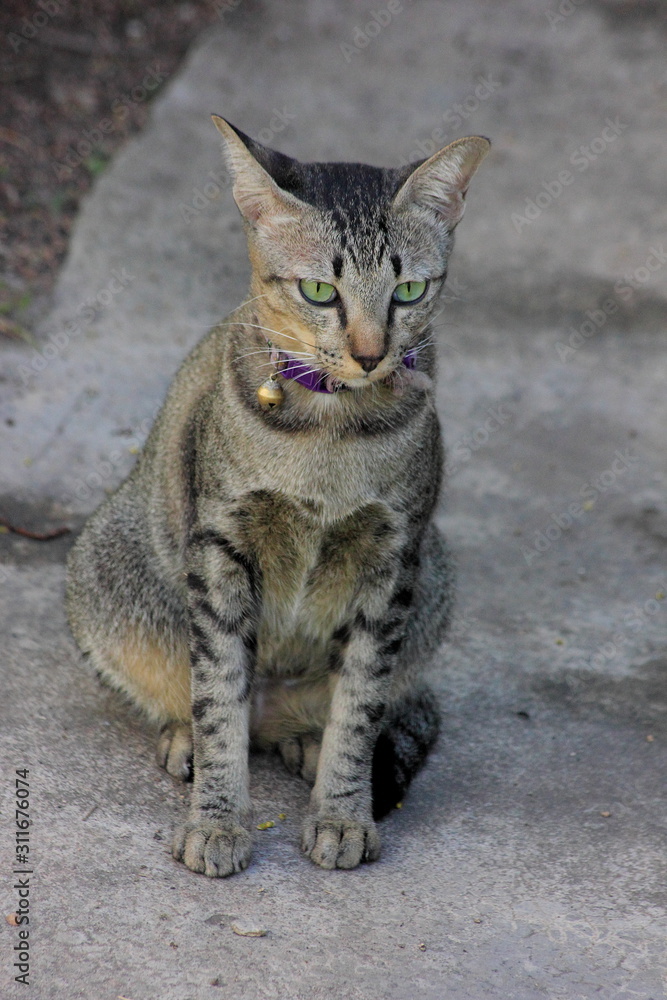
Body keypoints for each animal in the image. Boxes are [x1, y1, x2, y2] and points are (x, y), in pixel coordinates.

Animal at [66, 119, 490, 876]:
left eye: (408, 290)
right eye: (320, 290)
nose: (369, 353)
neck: (331, 435)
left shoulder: (394, 559)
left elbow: (360, 705)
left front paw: (342, 812)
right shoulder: (221, 547)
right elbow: (219, 696)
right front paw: (216, 820)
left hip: (433, 577)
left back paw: (306, 744)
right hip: (106, 568)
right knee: (202, 700)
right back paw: (188, 741)